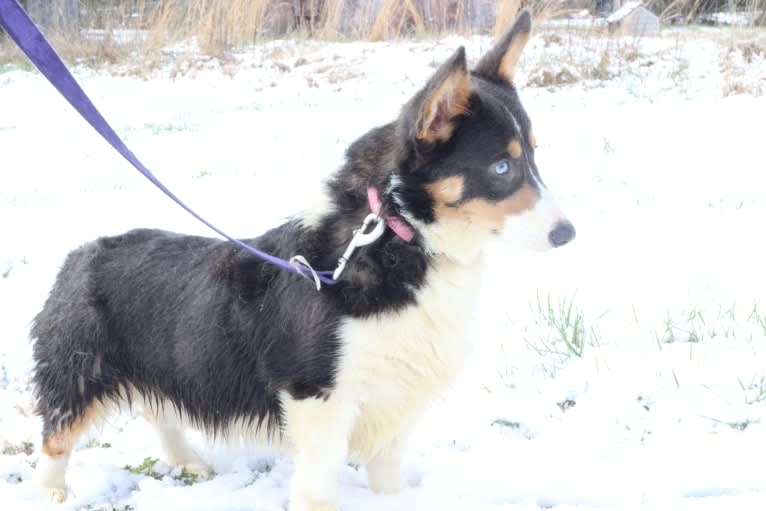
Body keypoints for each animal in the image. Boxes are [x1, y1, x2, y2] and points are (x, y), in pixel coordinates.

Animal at [33, 10, 576, 510]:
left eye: (533, 156)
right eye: (501, 167)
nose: (568, 234)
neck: (398, 235)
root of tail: (79, 253)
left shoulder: (398, 398)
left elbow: (387, 471)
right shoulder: (319, 399)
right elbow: (317, 484)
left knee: (160, 411)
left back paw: (188, 462)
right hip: (77, 376)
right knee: (56, 438)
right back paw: (53, 493)